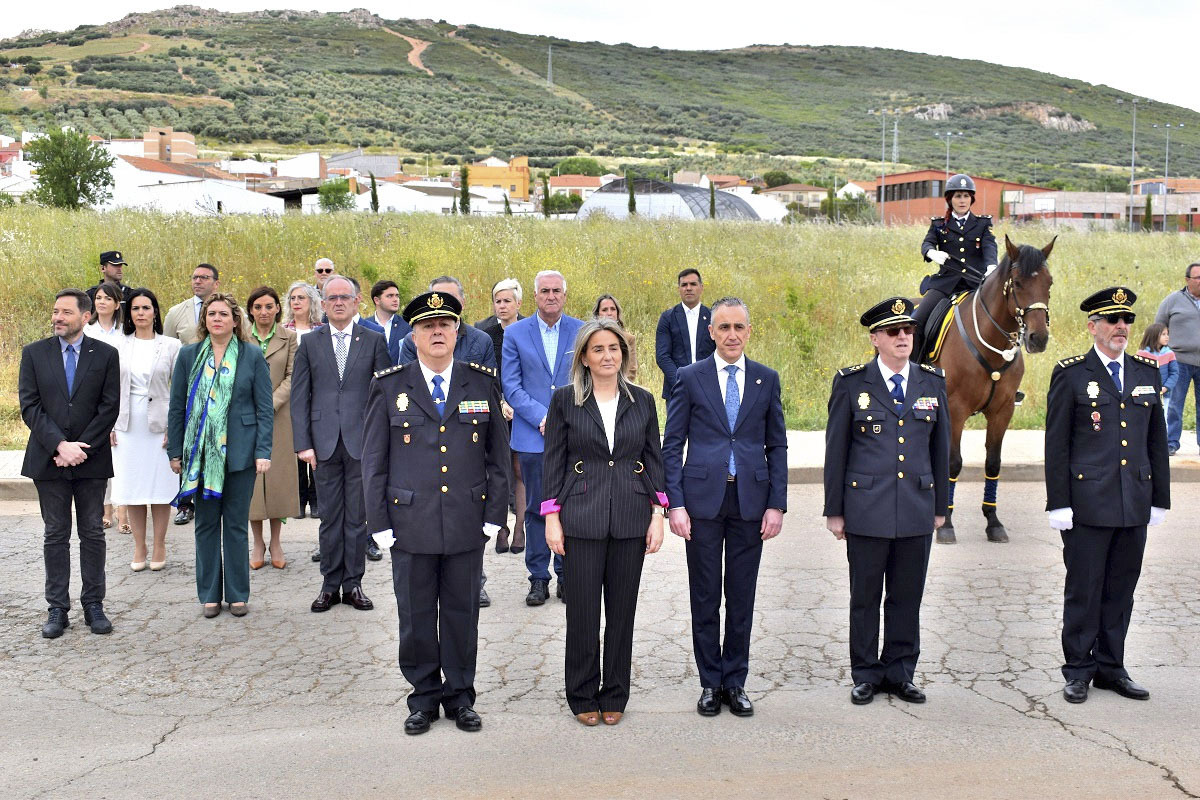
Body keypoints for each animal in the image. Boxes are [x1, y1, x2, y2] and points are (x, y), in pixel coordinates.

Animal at [931, 232, 1056, 544]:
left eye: (1049, 283)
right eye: (1018, 283)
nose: (1038, 338)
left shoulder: (1003, 410)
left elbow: (993, 463)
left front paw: (993, 521)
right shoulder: (956, 409)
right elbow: (953, 463)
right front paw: (946, 524)